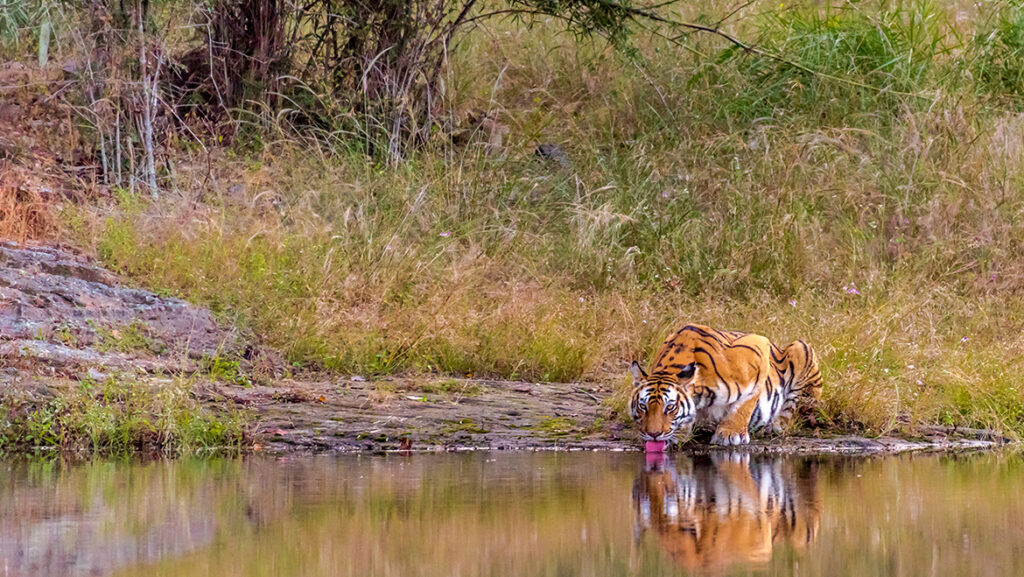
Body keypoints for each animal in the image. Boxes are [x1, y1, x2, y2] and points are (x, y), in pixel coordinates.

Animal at [622, 325, 823, 446]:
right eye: (643, 407)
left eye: (670, 407)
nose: (653, 435)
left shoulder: (759, 347)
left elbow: (744, 404)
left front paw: (730, 434)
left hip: (802, 348)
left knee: (791, 411)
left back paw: (774, 425)